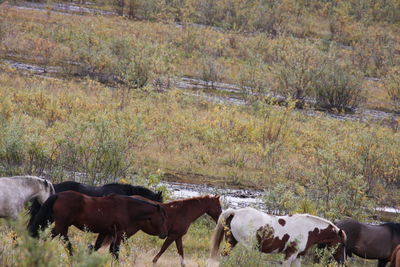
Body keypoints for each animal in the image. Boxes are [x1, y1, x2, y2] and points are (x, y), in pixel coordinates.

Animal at [29, 191, 167, 258]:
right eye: (163, 218)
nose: (164, 234)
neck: (127, 207)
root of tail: (58, 195)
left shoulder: (105, 232)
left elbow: (96, 247)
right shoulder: (119, 232)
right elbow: (115, 251)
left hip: (60, 225)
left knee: (64, 241)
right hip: (61, 225)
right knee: (48, 237)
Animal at [92, 196, 222, 266]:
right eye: (219, 207)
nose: (220, 220)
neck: (185, 211)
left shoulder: (178, 237)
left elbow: (181, 252)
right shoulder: (172, 236)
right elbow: (163, 249)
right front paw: (153, 261)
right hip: (129, 229)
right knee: (118, 243)